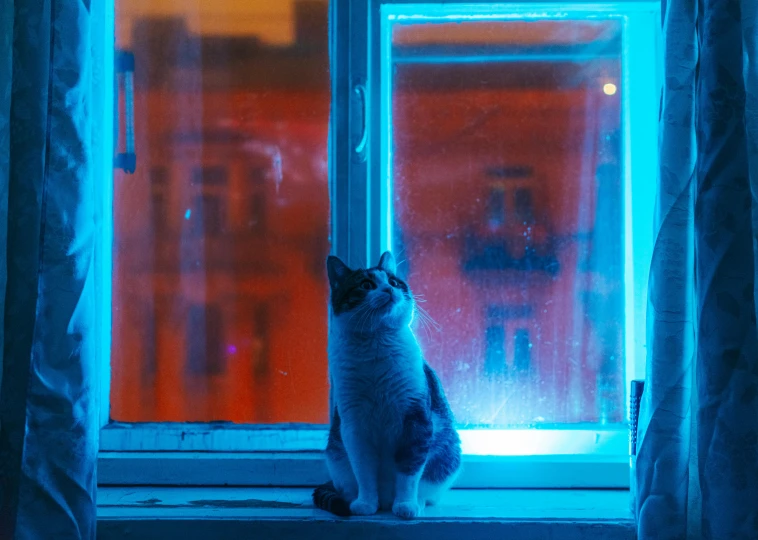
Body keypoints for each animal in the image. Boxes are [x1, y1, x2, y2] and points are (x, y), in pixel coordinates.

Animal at [310, 252, 464, 520]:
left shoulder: (416, 420)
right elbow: (363, 470)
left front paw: (406, 505)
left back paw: (415, 501)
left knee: (427, 489)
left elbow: (409, 471)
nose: (388, 289)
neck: (376, 345)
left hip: (448, 454)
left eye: (393, 282)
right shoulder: (354, 425)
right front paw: (365, 504)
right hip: (336, 456)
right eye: (366, 285)